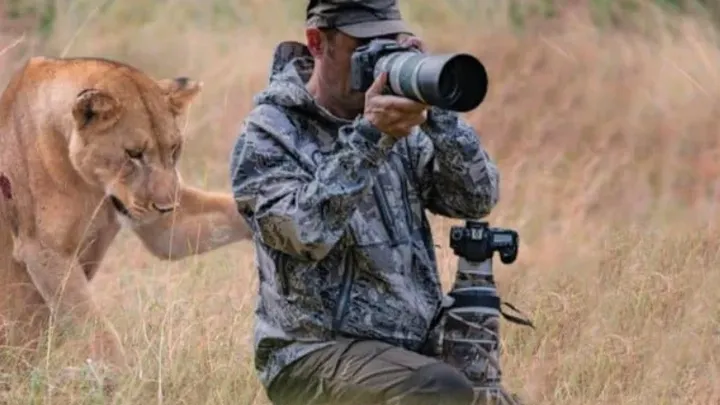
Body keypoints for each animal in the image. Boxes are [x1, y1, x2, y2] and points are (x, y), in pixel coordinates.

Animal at [0, 56, 252, 376]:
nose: (166, 206)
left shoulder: (163, 227)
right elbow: (95, 328)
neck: (90, 186)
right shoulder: (43, 251)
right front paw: (121, 378)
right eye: (133, 153)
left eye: (174, 148)